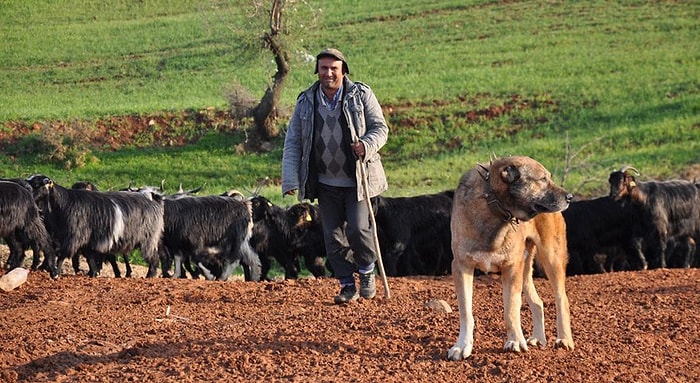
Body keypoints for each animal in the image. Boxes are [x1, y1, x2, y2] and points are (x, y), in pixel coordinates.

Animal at [448, 155, 576, 360]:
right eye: (542, 179)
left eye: (548, 177)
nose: (570, 197)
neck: (492, 206)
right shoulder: (461, 266)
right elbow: (466, 313)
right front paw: (462, 346)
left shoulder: (511, 267)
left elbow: (511, 309)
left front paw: (515, 341)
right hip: (525, 266)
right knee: (538, 302)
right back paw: (538, 338)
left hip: (551, 258)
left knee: (561, 298)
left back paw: (564, 340)